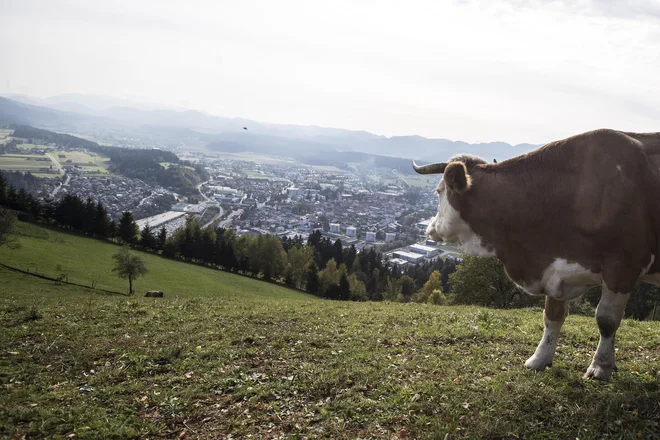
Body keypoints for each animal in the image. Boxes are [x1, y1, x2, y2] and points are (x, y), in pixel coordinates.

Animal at [412, 128, 660, 382]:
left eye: (438, 192)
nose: (429, 227)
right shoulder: (556, 266)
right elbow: (552, 316)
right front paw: (540, 358)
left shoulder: (623, 266)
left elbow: (606, 319)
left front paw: (601, 366)